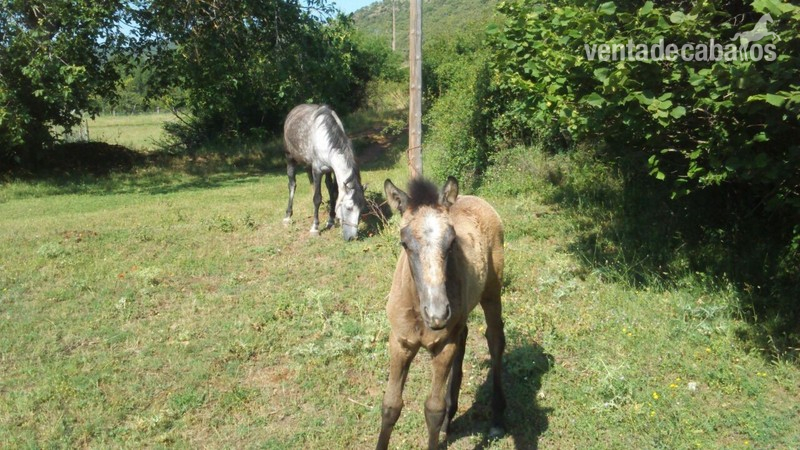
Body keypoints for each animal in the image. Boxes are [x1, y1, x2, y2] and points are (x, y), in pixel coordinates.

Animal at [282, 104, 366, 241]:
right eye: (348, 208)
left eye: (361, 209)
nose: (352, 238)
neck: (324, 138)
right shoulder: (317, 170)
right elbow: (317, 197)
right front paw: (315, 228)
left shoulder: (332, 170)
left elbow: (334, 193)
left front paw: (331, 220)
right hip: (290, 158)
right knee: (292, 184)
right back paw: (287, 216)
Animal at [377, 177, 506, 450]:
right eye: (404, 243)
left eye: (452, 241)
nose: (437, 314)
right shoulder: (400, 342)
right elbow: (391, 405)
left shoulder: (442, 345)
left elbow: (433, 410)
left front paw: (442, 416)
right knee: (464, 336)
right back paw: (451, 414)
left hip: (492, 292)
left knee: (495, 339)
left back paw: (497, 417)